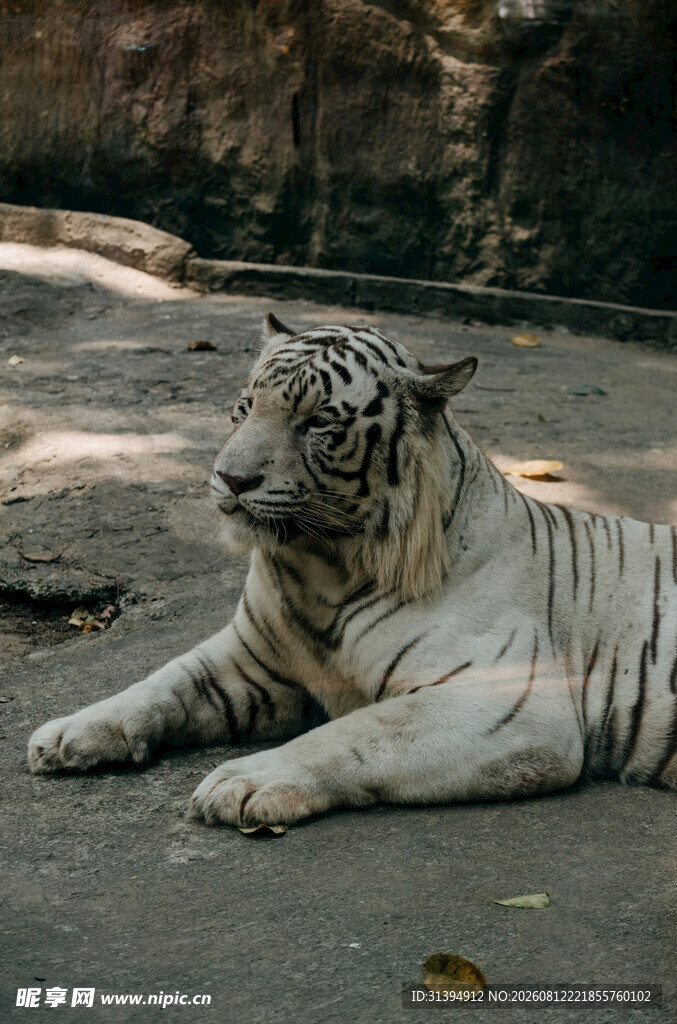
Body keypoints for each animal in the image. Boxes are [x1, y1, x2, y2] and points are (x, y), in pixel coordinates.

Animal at [28, 313, 677, 827]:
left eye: (317, 423)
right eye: (244, 408)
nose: (230, 479)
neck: (320, 570)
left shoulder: (508, 702)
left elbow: (355, 733)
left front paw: (243, 781)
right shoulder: (249, 658)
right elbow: (160, 682)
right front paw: (70, 733)